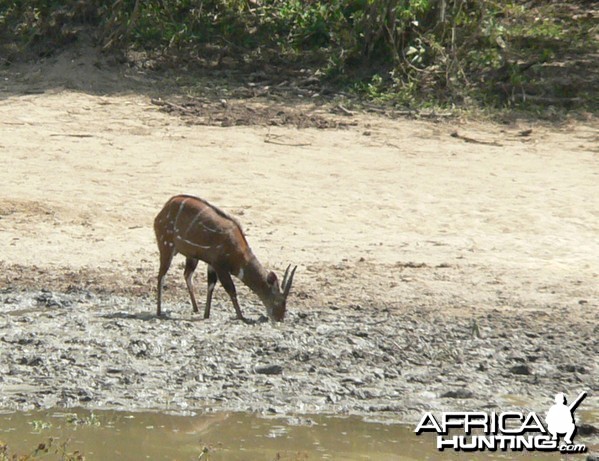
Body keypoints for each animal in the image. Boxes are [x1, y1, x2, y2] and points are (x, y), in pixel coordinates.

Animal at [154, 194, 296, 320]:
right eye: (278, 300)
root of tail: (164, 209)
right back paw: (159, 311)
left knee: (187, 275)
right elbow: (231, 289)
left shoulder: (211, 263)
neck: (239, 253)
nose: (279, 318)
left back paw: (196, 308)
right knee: (161, 276)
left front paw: (206, 314)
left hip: (191, 256)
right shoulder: (220, 265)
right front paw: (241, 316)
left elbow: (211, 286)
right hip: (166, 247)